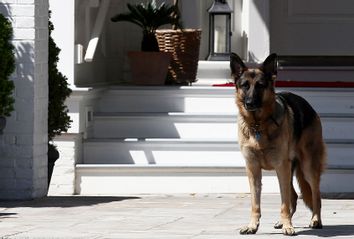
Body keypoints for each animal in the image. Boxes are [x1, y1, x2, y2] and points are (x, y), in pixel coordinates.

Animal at [230, 52, 326, 235]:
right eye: (245, 85)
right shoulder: (253, 169)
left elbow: (284, 203)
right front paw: (252, 226)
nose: (250, 103)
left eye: (260, 86)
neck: (258, 125)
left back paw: (315, 220)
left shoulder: (282, 167)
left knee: (315, 195)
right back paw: (283, 222)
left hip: (307, 168)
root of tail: (308, 106)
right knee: (294, 196)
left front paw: (288, 226)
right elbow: (255, 203)